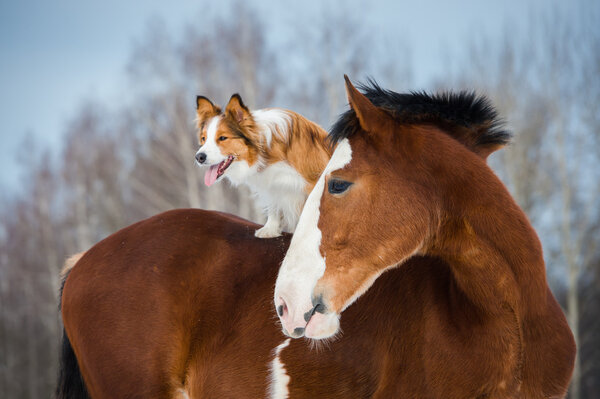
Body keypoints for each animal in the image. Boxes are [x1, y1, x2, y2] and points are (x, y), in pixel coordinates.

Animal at [195, 94, 330, 238]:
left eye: (222, 138)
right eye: (203, 138)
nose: (199, 157)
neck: (265, 149)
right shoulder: (272, 183)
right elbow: (274, 205)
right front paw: (270, 229)